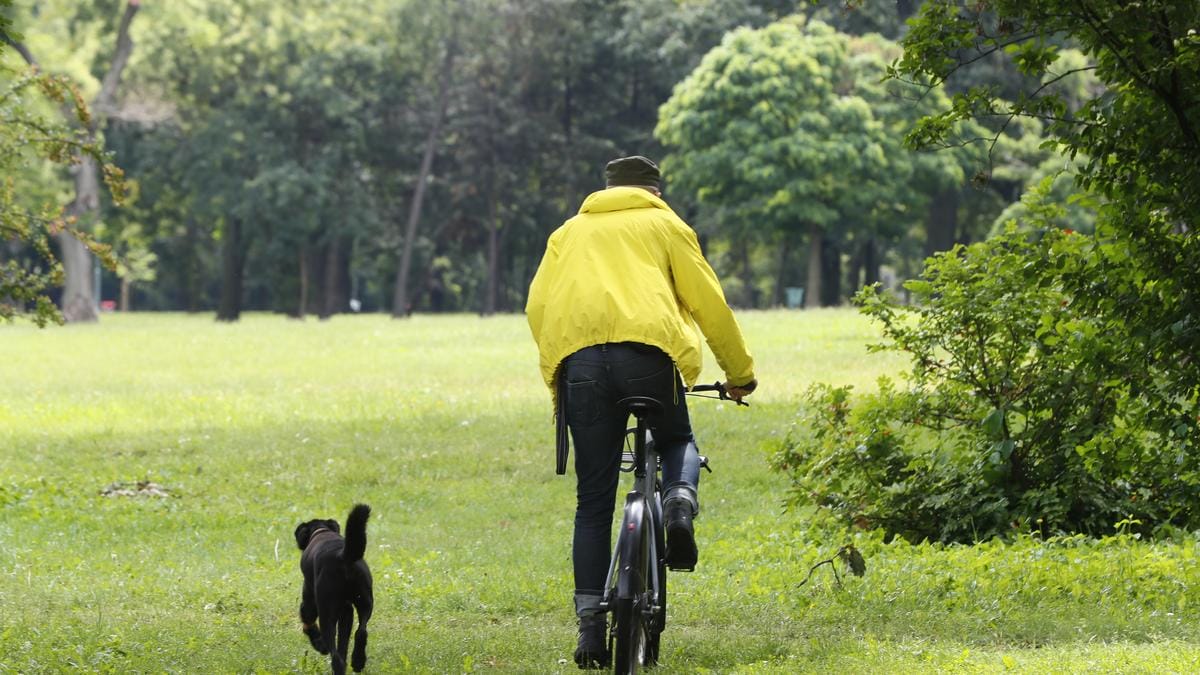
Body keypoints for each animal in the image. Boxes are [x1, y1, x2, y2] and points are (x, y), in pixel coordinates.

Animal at [292, 502, 372, 667]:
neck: (320, 530)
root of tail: (343, 556)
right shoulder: (346, 611)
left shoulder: (309, 599)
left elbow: (307, 622)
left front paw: (318, 644)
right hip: (365, 602)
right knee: (361, 632)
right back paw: (358, 661)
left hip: (326, 613)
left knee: (336, 657)